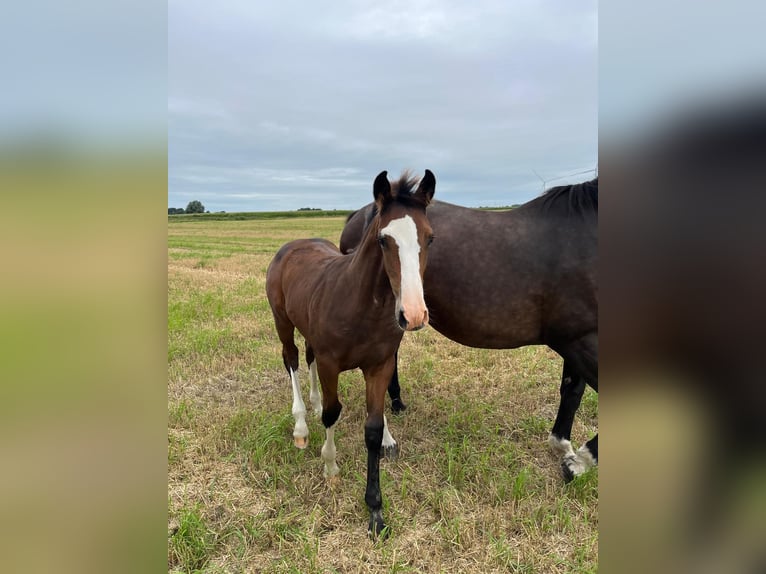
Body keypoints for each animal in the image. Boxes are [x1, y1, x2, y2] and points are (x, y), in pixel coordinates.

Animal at [266, 169, 436, 537]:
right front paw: (330, 467)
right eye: (384, 239)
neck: (361, 305)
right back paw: (301, 426)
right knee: (292, 359)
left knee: (308, 358)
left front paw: (375, 510)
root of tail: (293, 244)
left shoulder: (379, 365)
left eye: (429, 238)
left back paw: (313, 405)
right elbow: (333, 413)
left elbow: (372, 430)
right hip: (282, 321)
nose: (414, 315)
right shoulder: (332, 364)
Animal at [340, 178, 598, 481]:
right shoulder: (582, 342)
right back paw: (386, 440)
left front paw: (563, 447)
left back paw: (397, 404)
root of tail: (358, 215)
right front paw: (577, 463)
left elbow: (571, 392)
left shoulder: (575, 341)